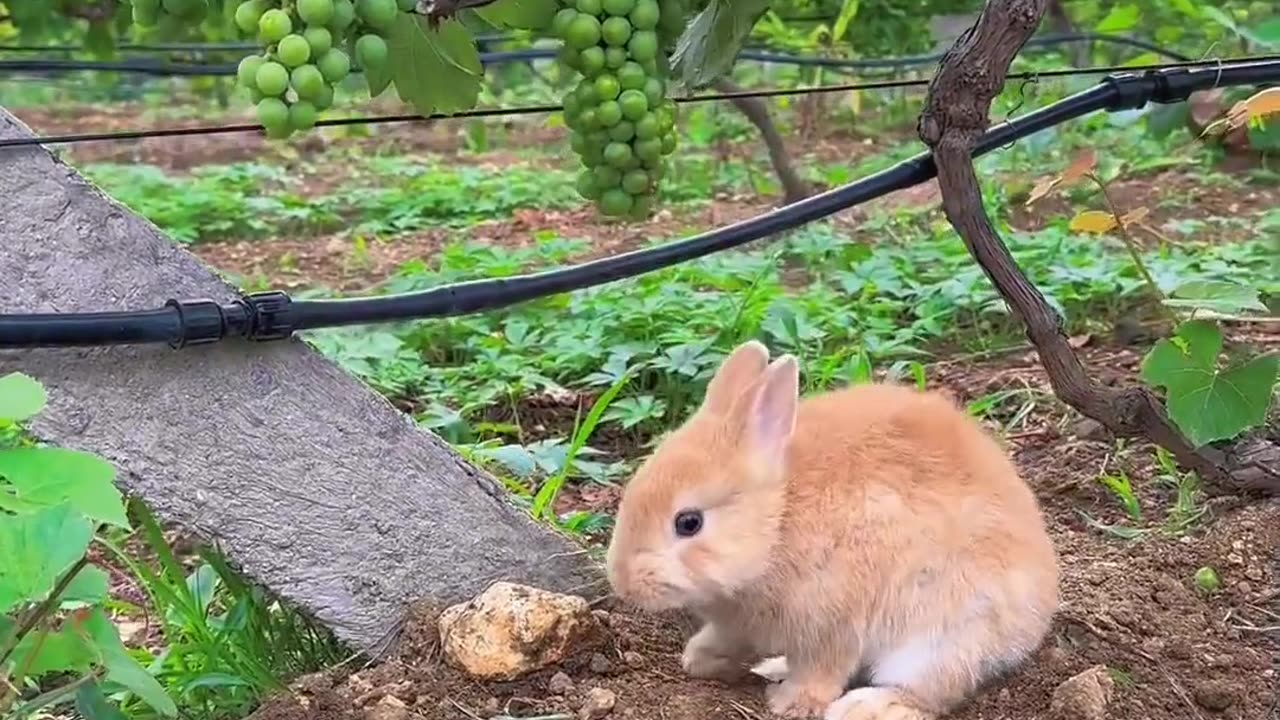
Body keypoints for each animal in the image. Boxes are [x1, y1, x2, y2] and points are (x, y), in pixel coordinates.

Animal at [606, 340, 1059, 717]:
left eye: (689, 522)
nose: (622, 582)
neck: (779, 519)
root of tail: (1036, 619)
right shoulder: (742, 626)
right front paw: (702, 659)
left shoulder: (830, 623)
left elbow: (822, 669)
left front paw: (790, 702)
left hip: (944, 636)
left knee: (930, 693)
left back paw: (864, 707)